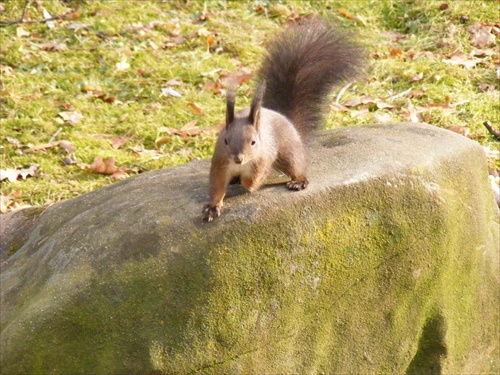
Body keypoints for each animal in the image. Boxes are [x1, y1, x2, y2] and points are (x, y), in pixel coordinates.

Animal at [202, 17, 364, 222]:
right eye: (225, 140)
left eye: (254, 142)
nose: (238, 158)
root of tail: (287, 120)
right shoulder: (220, 163)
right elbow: (217, 187)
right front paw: (213, 206)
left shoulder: (263, 158)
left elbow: (254, 178)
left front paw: (250, 184)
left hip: (288, 152)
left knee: (297, 166)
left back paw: (298, 181)